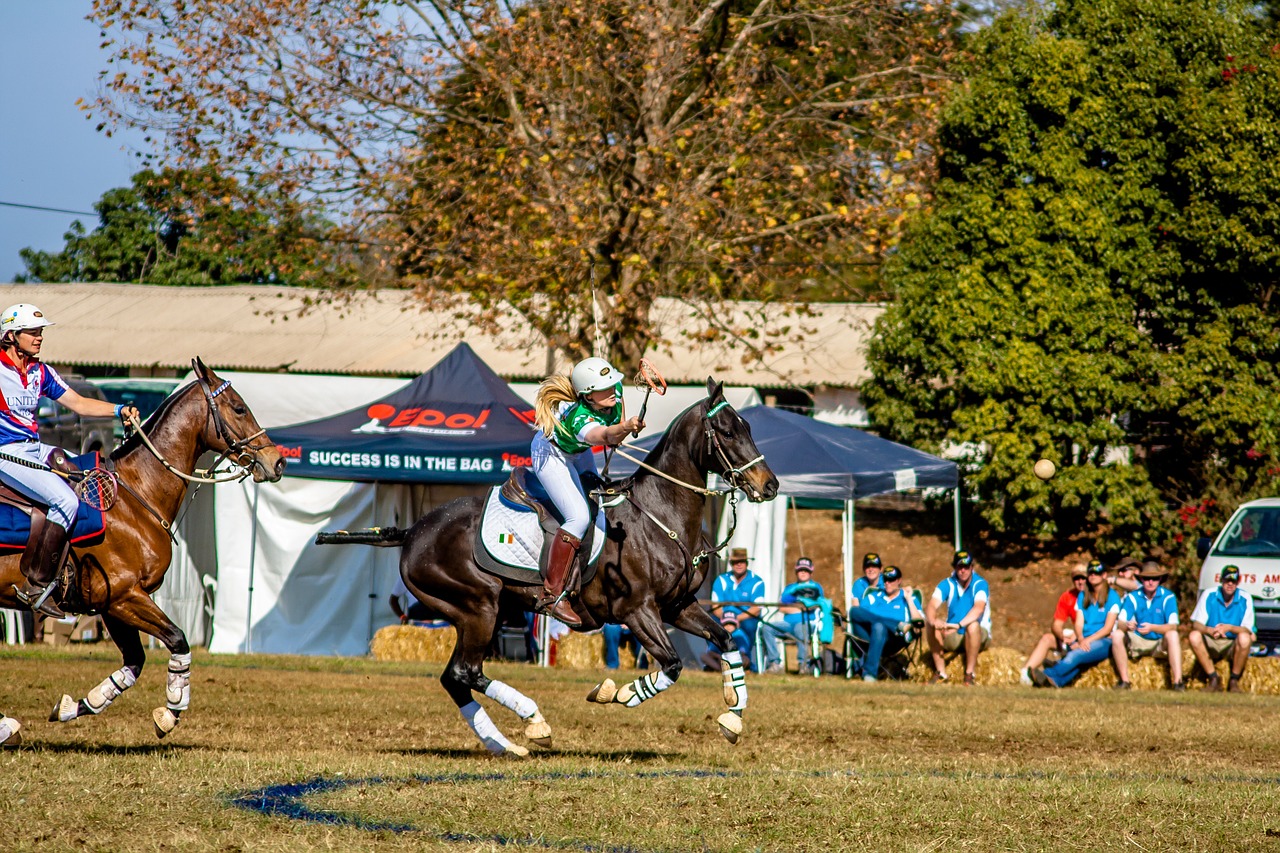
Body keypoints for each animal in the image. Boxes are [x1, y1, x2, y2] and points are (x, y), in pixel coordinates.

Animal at [0, 358, 282, 737]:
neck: (140, 494)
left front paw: (74, 706)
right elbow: (177, 639)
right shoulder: (126, 595)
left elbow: (133, 663)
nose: (277, 460)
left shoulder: (108, 603)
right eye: (239, 408)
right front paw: (171, 712)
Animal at [371, 381, 773, 753]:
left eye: (749, 426)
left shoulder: (678, 606)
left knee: (454, 677)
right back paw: (534, 720)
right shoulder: (636, 610)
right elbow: (672, 665)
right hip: (477, 607)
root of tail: (414, 531)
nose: (769, 486)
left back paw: (505, 744)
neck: (660, 515)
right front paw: (617, 693)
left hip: (486, 612)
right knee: (465, 671)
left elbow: (726, 640)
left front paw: (733, 715)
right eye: (727, 431)